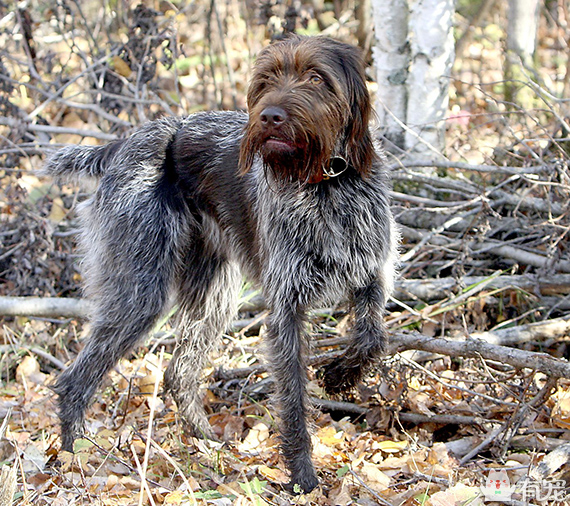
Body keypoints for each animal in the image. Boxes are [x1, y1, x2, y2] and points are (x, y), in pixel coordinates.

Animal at [44, 36, 398, 494]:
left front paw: (341, 375)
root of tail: (123, 144)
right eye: (266, 80)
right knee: (75, 379)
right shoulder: (286, 308)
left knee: (178, 372)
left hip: (214, 294)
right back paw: (75, 459)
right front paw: (302, 476)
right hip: (141, 291)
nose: (270, 116)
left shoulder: (373, 276)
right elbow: (294, 400)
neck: (325, 187)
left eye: (317, 78)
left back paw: (204, 445)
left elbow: (372, 337)